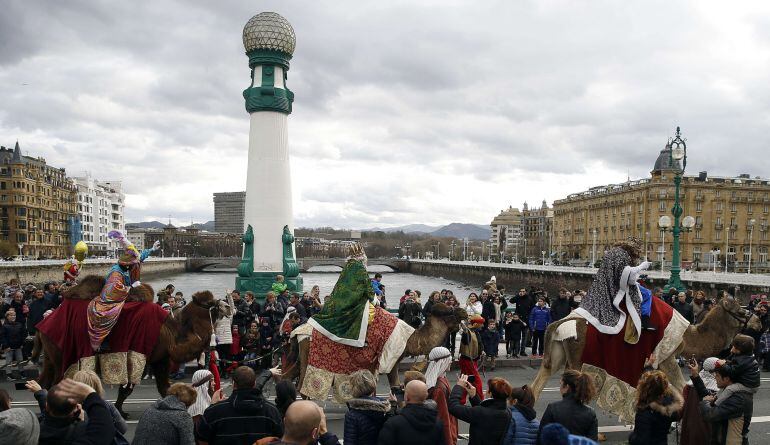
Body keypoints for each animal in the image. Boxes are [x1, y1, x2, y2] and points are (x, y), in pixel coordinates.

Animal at [36, 276, 222, 418]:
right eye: (208, 303)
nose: (225, 305)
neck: (170, 333)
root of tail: (43, 322)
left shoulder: (160, 358)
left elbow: (163, 387)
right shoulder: (141, 355)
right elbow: (127, 389)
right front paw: (121, 411)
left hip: (50, 356)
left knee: (44, 381)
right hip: (63, 354)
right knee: (58, 382)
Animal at [280, 302, 464, 392]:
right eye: (448, 311)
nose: (464, 312)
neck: (410, 338)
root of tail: (297, 332)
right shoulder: (391, 358)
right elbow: (394, 385)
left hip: (300, 353)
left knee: (287, 376)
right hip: (310, 355)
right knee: (302, 383)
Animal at [528, 294, 756, 398]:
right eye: (741, 310)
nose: (758, 323)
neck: (688, 336)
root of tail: (560, 323)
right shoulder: (667, 357)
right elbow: (681, 386)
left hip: (558, 353)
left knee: (539, 382)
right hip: (577, 356)